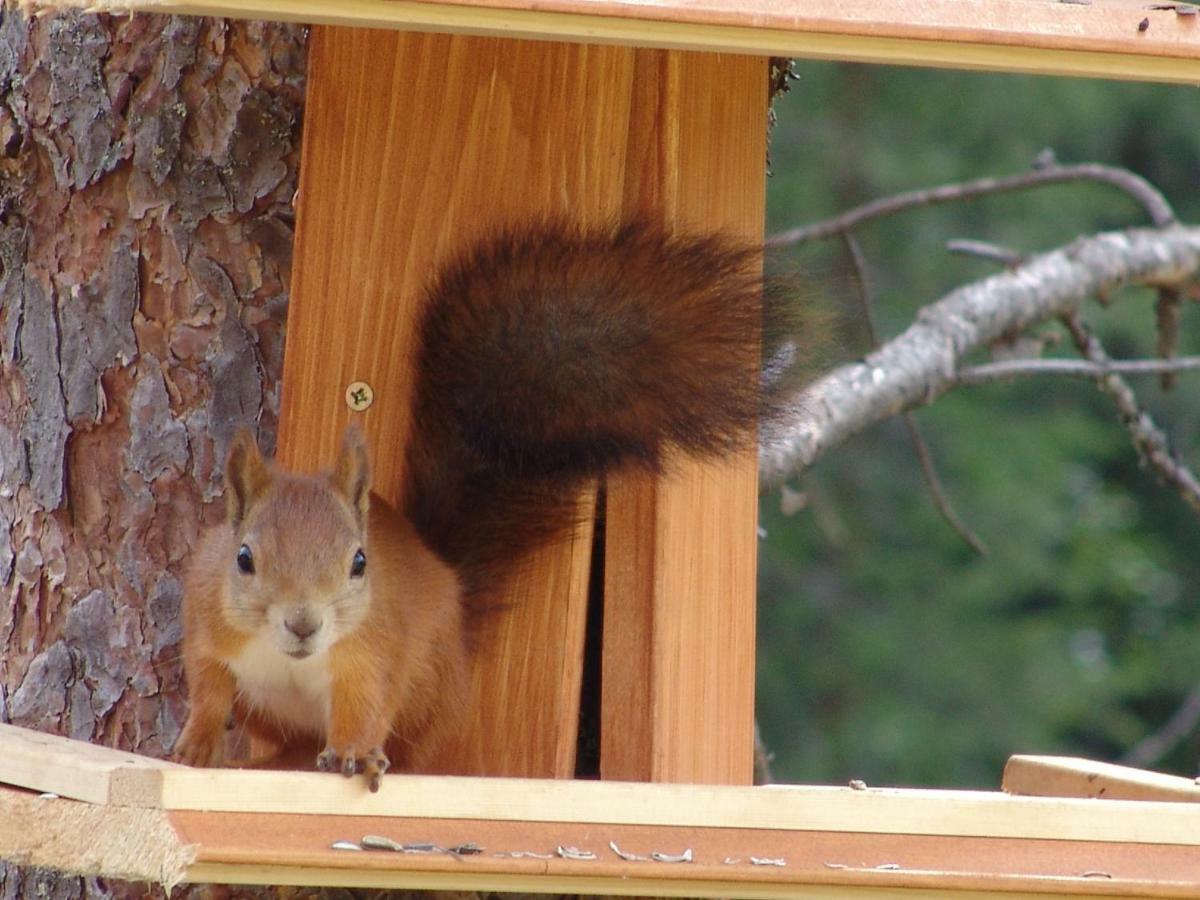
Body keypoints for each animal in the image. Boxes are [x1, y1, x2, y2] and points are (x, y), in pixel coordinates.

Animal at [171, 222, 806, 792]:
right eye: (244, 559)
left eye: (359, 563)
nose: (304, 624)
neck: (294, 659)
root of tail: (445, 574)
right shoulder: (206, 626)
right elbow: (207, 689)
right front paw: (194, 746)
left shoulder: (375, 651)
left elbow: (367, 702)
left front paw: (354, 752)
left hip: (432, 687)